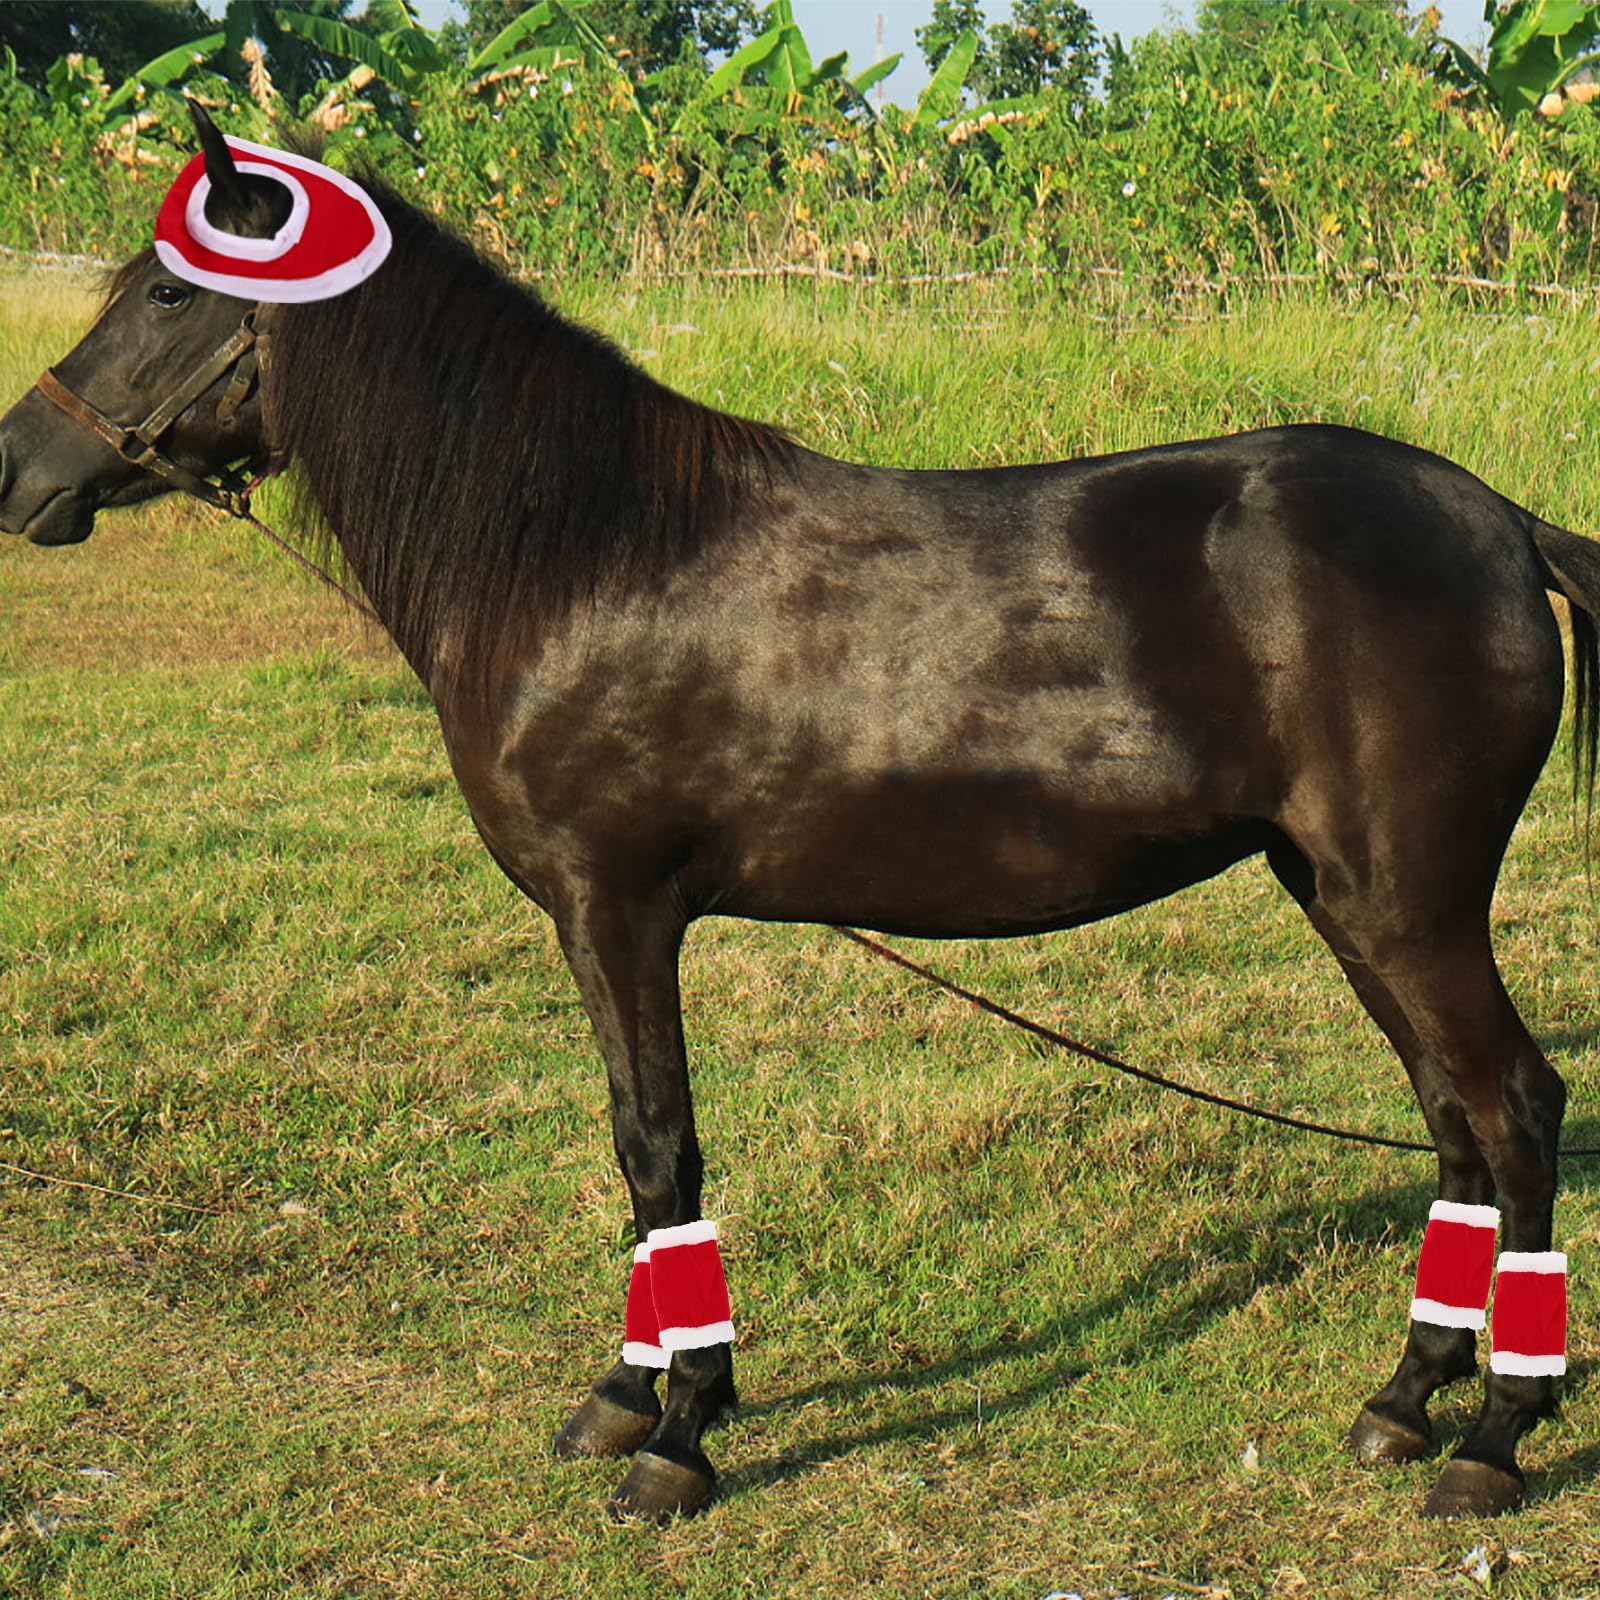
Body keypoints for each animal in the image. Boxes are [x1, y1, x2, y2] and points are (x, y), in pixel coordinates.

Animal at [0, 106, 1594, 1525]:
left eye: (165, 289)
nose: (18, 469)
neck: (582, 552)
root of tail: (1502, 522)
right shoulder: (609, 920)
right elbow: (637, 1147)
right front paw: (626, 1397)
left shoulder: (617, 908)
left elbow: (657, 1145)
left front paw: (678, 1439)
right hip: (1341, 897)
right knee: (1453, 1126)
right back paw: (1404, 1401)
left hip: (1409, 904)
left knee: (1516, 1111)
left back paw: (1493, 1439)